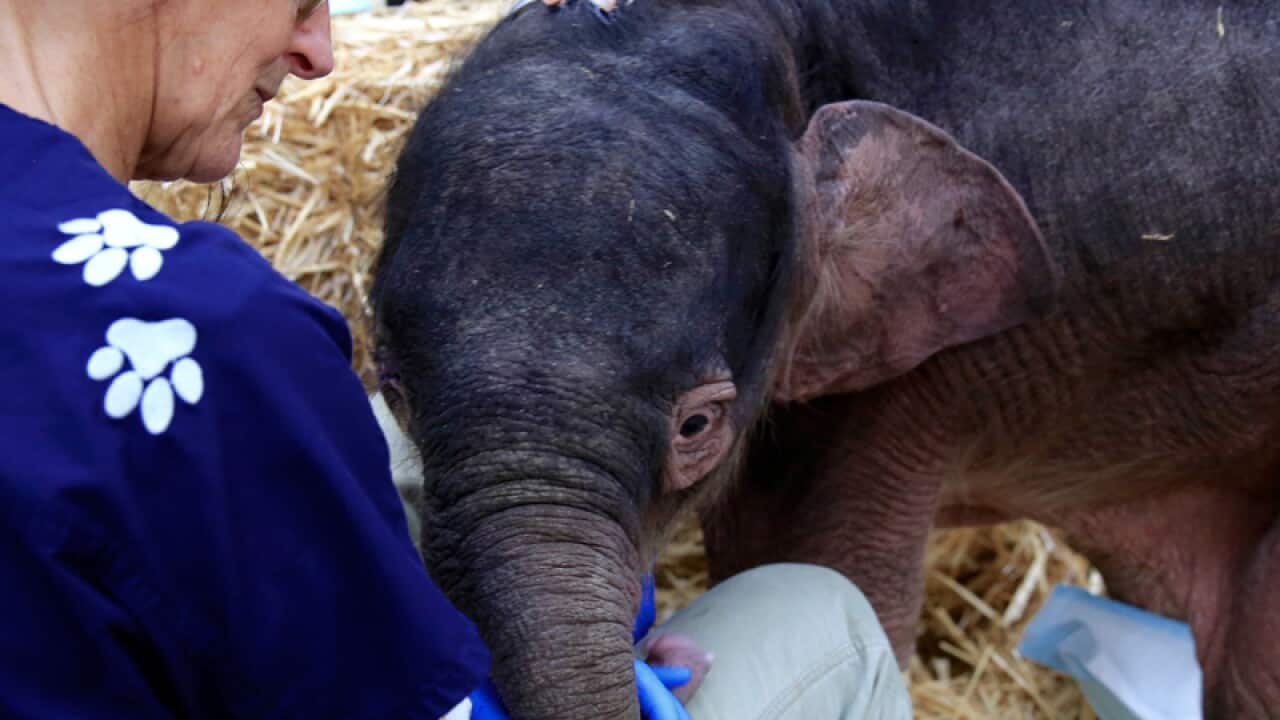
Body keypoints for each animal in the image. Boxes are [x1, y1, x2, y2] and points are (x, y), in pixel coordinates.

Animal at [370, 1, 1280, 717]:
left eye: (699, 425)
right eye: (393, 390)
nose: (656, 660)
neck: (779, 28)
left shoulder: (920, 379)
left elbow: (831, 571)